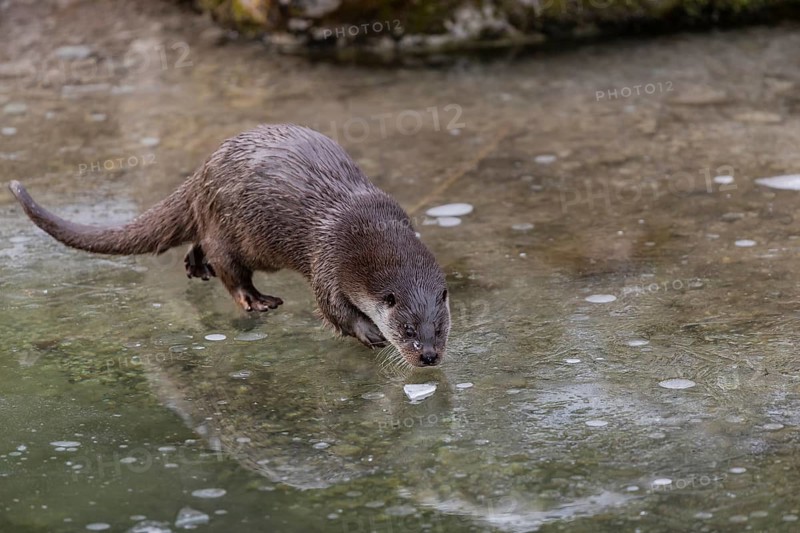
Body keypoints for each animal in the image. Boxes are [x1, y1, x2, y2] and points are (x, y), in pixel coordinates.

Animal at [9, 124, 450, 367]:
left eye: (440, 328)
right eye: (407, 329)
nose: (429, 356)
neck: (365, 230)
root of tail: (202, 173)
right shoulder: (327, 257)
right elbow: (332, 308)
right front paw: (368, 333)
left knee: (200, 243)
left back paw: (195, 267)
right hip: (230, 228)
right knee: (227, 265)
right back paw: (255, 299)